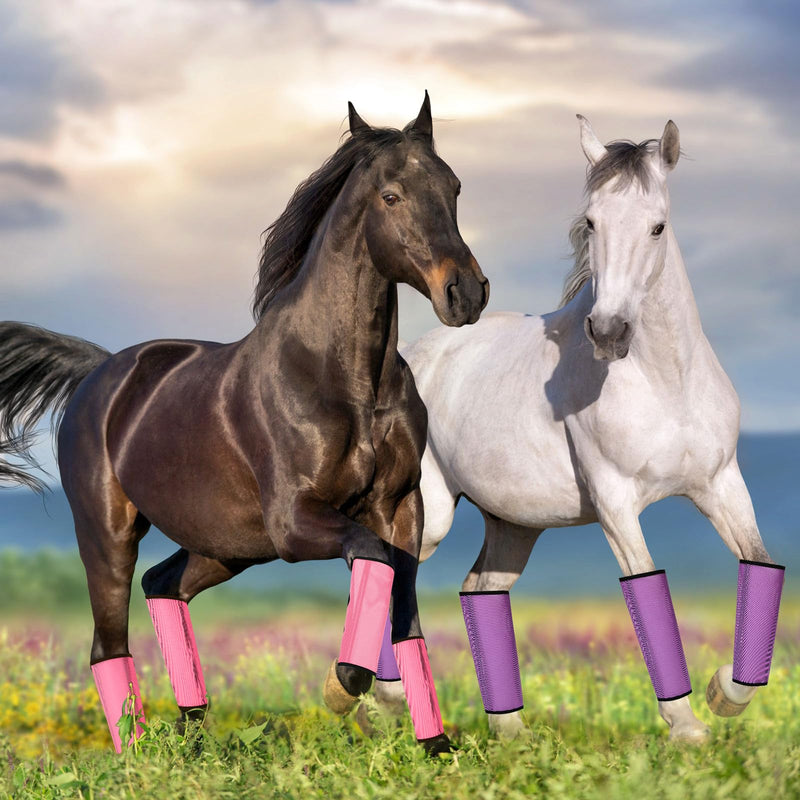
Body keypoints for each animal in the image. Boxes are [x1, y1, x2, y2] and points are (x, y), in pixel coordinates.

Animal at [0, 93, 489, 756]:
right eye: (391, 195)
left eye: (454, 186)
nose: (466, 293)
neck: (344, 379)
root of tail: (100, 372)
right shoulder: (295, 520)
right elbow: (372, 559)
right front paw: (344, 684)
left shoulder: (398, 508)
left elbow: (403, 609)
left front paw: (436, 748)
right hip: (109, 534)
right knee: (108, 643)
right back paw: (140, 756)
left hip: (228, 546)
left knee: (163, 584)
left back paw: (191, 734)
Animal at [372, 116, 784, 742]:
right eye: (591, 222)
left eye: (658, 226)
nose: (609, 331)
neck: (666, 383)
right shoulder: (615, 502)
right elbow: (646, 584)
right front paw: (686, 727)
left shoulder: (721, 485)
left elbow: (759, 565)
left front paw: (724, 694)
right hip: (432, 513)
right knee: (393, 572)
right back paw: (378, 699)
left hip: (514, 526)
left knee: (480, 591)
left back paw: (510, 731)